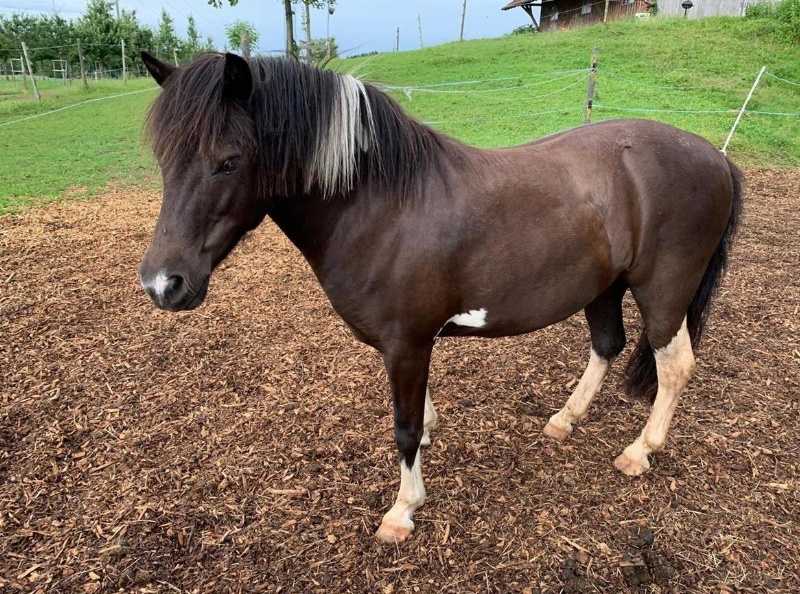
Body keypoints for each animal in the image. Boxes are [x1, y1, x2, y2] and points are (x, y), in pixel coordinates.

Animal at [138, 51, 742, 543]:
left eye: (228, 161)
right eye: (164, 161)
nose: (162, 284)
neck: (382, 204)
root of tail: (713, 156)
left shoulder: (406, 343)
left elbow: (402, 429)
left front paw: (403, 509)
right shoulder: (412, 344)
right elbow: (420, 413)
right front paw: (430, 436)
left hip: (663, 291)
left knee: (674, 365)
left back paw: (640, 452)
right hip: (604, 286)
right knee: (607, 345)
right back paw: (564, 420)